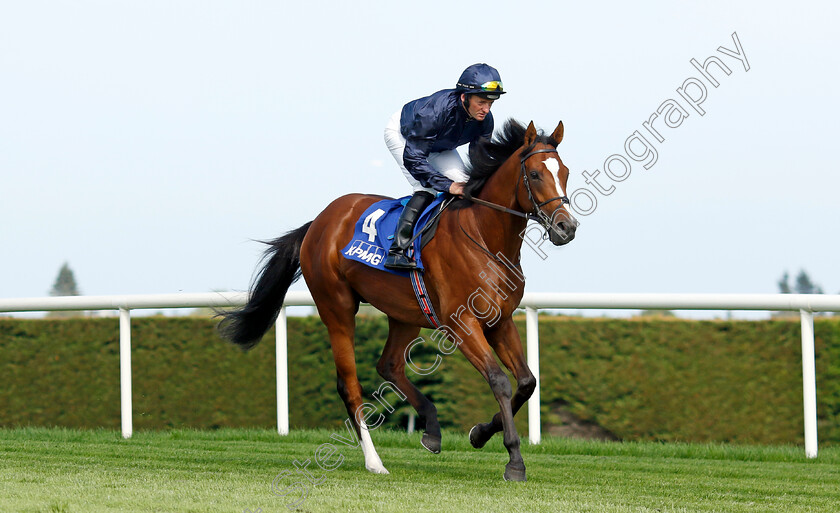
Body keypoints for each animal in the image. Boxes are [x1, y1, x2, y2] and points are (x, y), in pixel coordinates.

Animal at [218, 119, 576, 480]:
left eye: (565, 172)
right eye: (535, 174)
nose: (567, 227)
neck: (484, 236)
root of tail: (319, 222)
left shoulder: (500, 320)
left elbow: (527, 382)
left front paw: (480, 433)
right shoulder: (460, 323)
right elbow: (500, 380)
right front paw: (514, 460)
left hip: (404, 313)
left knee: (388, 365)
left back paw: (431, 429)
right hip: (336, 306)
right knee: (349, 384)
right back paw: (374, 461)